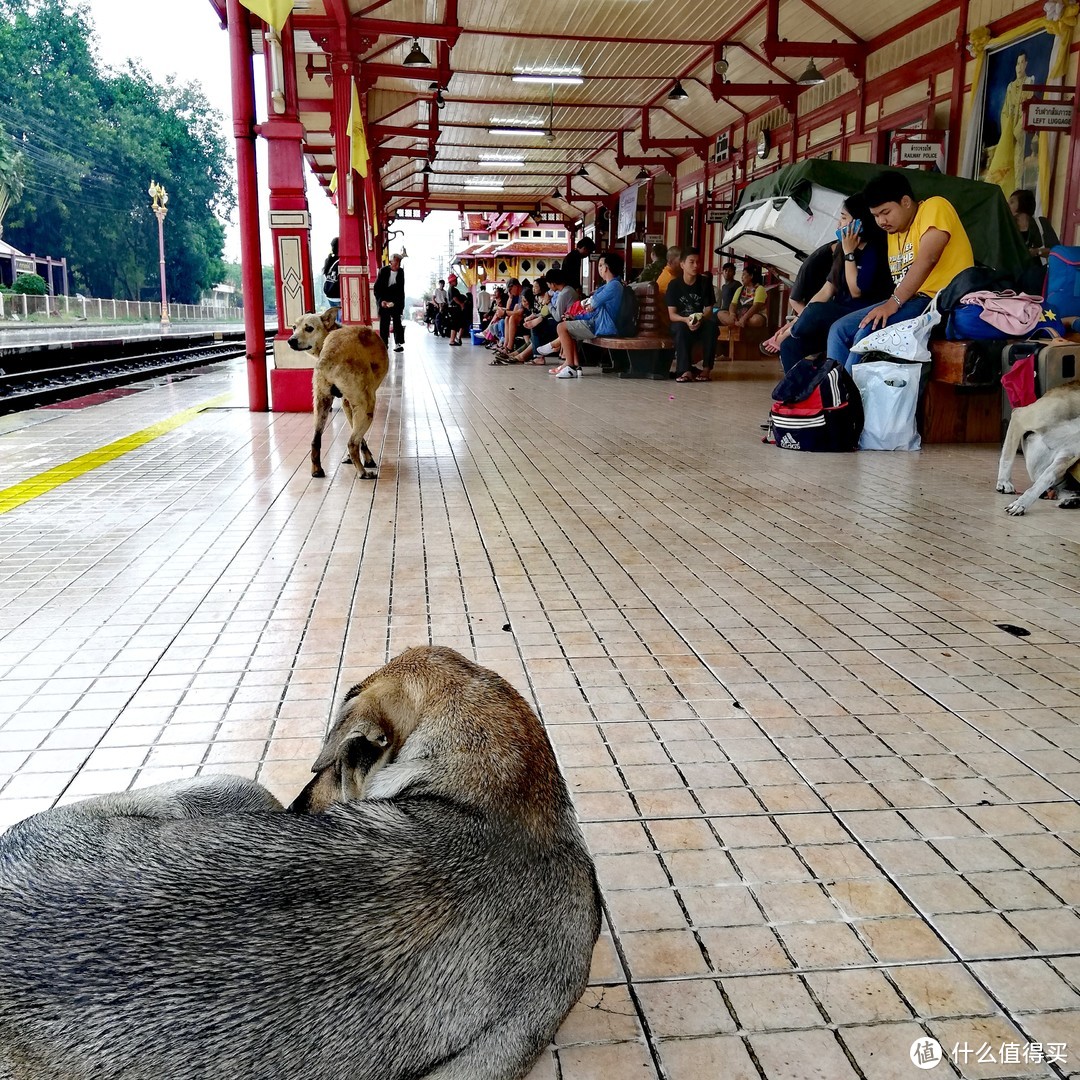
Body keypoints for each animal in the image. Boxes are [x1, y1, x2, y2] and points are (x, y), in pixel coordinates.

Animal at [287, 313, 388, 481]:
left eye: (309, 328)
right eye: (294, 327)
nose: (291, 340)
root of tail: (330, 351)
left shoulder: (345, 403)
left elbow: (356, 431)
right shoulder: (351, 403)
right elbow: (358, 437)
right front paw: (367, 460)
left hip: (321, 404)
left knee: (315, 440)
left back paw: (317, 470)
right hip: (367, 407)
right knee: (352, 443)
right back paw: (363, 472)